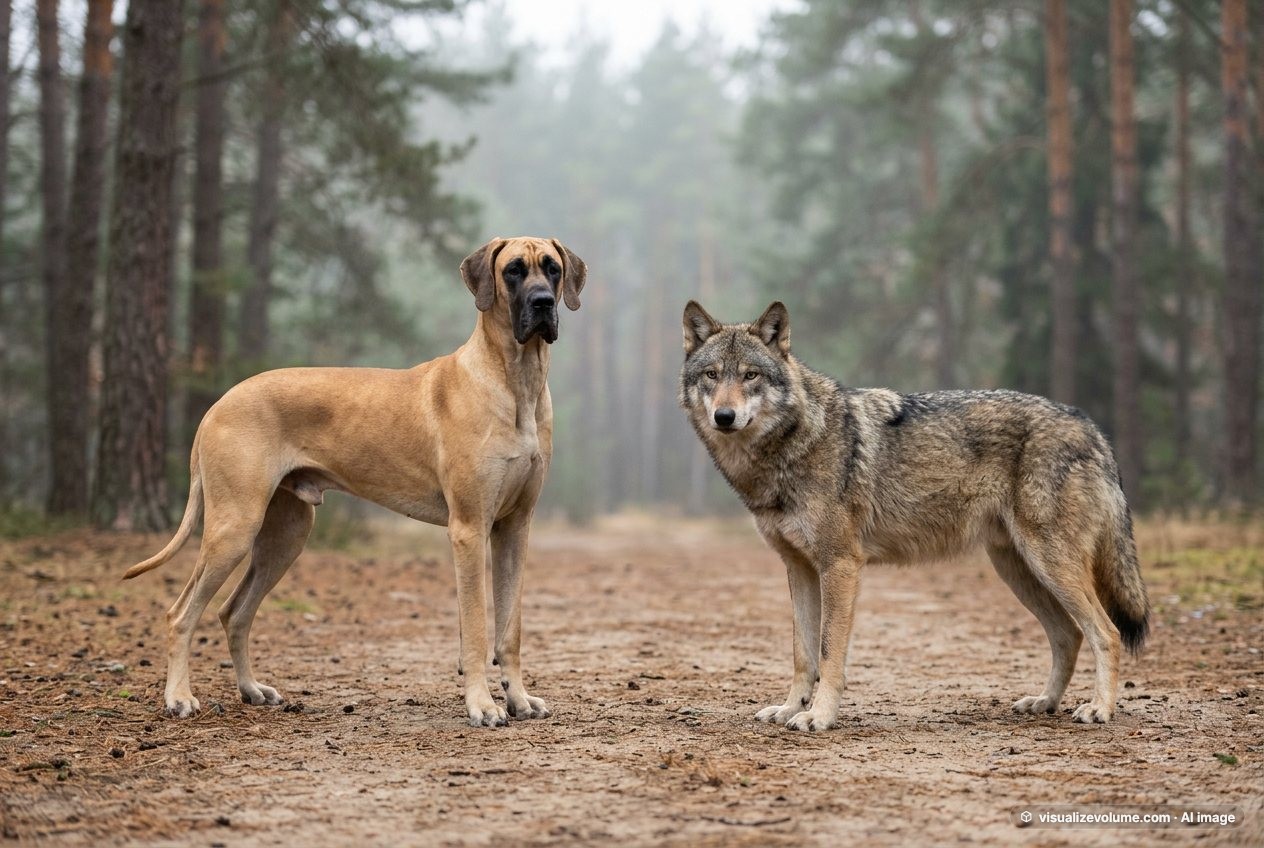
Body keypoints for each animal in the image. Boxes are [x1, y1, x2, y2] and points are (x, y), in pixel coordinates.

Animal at [679, 300, 1150, 732]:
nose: (724, 416)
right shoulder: (799, 568)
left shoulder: (840, 565)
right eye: (712, 375)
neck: (792, 445)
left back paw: (1099, 709)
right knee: (1068, 635)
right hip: (1018, 569)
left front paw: (819, 716)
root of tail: (1093, 428)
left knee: (1105, 632)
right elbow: (802, 653)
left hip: (1050, 564)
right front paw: (791, 708)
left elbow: (829, 653)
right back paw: (1045, 702)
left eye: (750, 375)